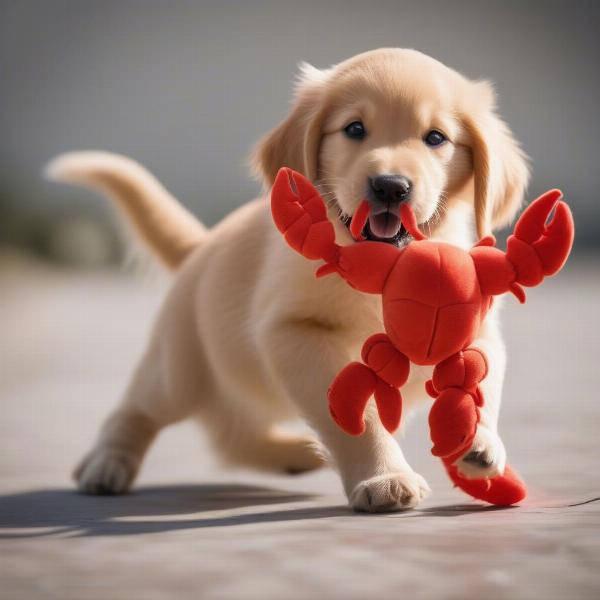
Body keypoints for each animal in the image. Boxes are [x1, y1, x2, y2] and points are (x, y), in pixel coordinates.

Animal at [45, 49, 524, 512]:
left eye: (436, 138)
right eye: (354, 128)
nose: (390, 186)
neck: (382, 266)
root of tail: (202, 245)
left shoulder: (478, 327)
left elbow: (481, 378)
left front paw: (478, 441)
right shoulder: (295, 333)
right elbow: (357, 417)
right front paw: (384, 478)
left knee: (235, 435)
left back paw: (297, 453)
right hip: (179, 369)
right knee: (136, 410)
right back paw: (107, 464)